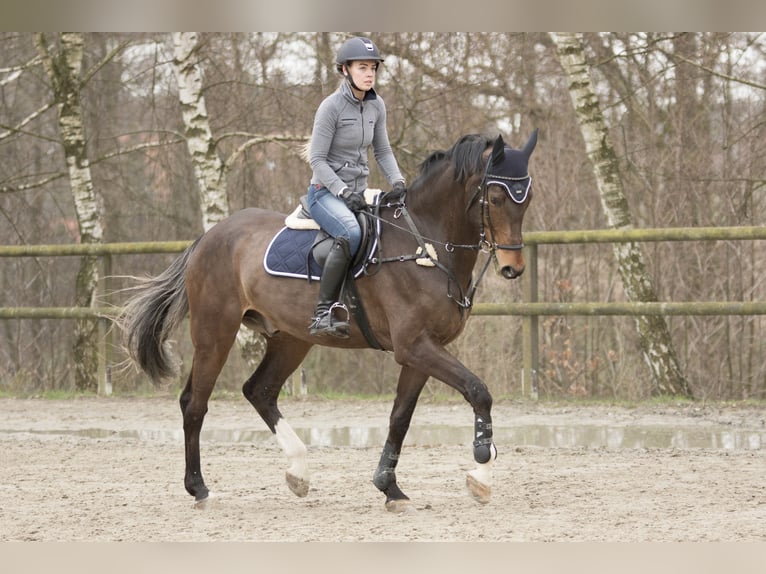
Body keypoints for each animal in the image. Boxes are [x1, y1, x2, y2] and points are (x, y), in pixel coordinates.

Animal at [120, 129, 540, 512]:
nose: (513, 268)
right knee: (195, 403)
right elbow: (478, 391)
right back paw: (200, 488)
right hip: (215, 333)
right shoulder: (415, 346)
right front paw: (481, 471)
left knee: (260, 391)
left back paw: (298, 472)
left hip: (291, 339)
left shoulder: (421, 352)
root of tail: (208, 237)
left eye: (528, 198)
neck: (425, 244)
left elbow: (400, 418)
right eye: (496, 197)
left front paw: (389, 487)